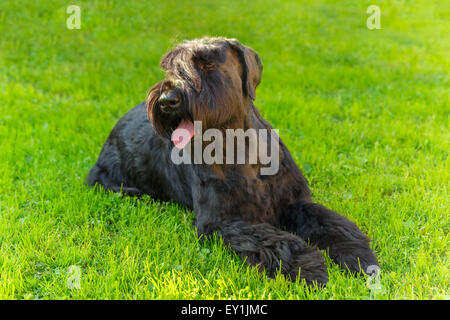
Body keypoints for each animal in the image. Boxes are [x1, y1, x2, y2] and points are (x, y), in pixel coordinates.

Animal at [86, 37, 378, 284]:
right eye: (170, 67)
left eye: (207, 63)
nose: (168, 99)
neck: (239, 147)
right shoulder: (221, 222)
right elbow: (274, 241)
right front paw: (307, 265)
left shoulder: (295, 202)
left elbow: (331, 222)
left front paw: (357, 254)